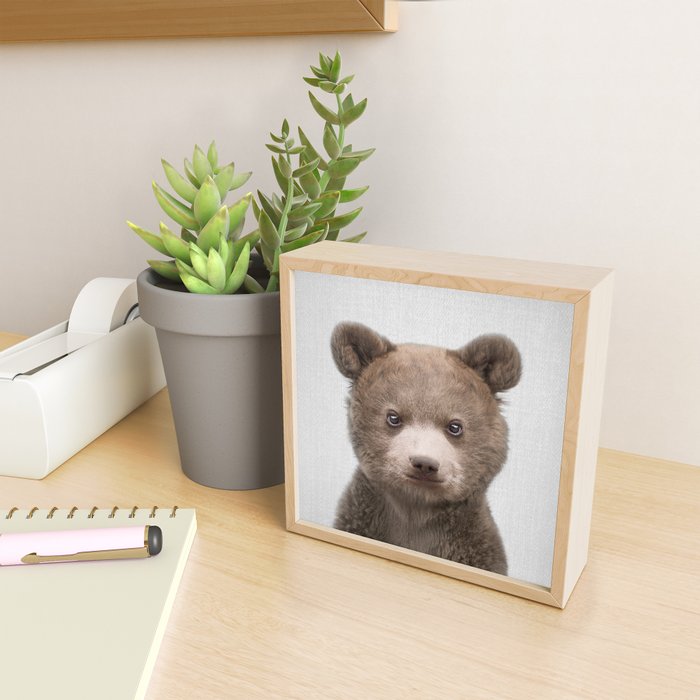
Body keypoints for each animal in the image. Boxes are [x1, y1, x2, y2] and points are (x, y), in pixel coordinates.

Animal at [330, 321, 522, 576]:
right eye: (393, 417)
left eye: (454, 426)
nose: (424, 463)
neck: (416, 509)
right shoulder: (361, 519)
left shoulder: (474, 546)